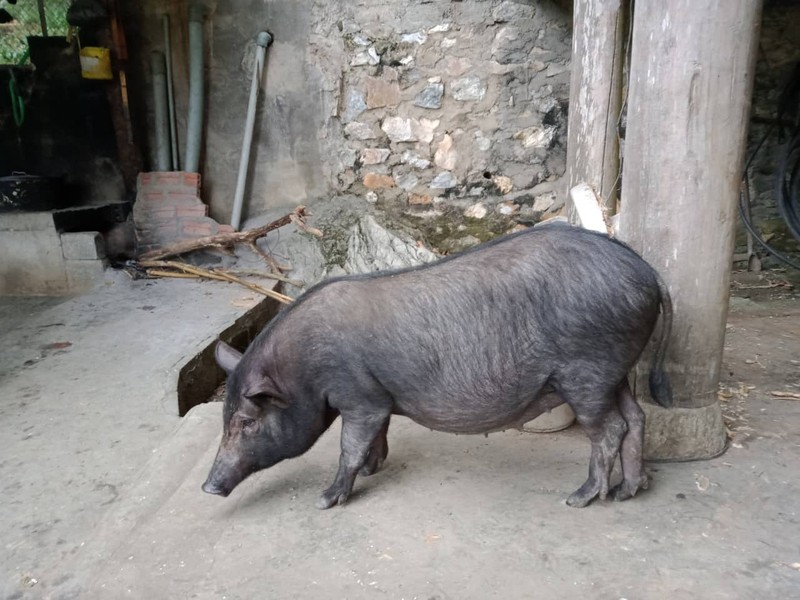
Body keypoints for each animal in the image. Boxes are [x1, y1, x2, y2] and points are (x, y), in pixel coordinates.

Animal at [203, 223, 672, 508]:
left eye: (246, 421)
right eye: (225, 417)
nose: (208, 487)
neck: (301, 370)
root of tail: (650, 274)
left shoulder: (359, 397)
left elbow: (349, 445)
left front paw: (325, 499)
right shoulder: (378, 398)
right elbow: (378, 434)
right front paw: (375, 467)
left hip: (586, 373)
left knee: (610, 429)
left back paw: (581, 497)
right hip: (613, 370)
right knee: (636, 417)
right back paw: (628, 491)